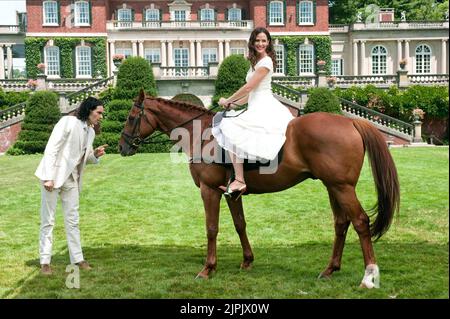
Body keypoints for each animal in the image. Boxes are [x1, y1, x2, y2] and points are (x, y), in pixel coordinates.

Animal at [118, 90, 400, 290]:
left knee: (360, 221)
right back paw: (330, 269)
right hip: (333, 186)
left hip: (342, 188)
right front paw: (247, 260)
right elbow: (240, 224)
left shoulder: (209, 190)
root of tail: (350, 123)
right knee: (341, 223)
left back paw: (368, 277)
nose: (122, 146)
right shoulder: (230, 193)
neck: (201, 134)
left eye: (131, 117)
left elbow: (212, 228)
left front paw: (208, 269)